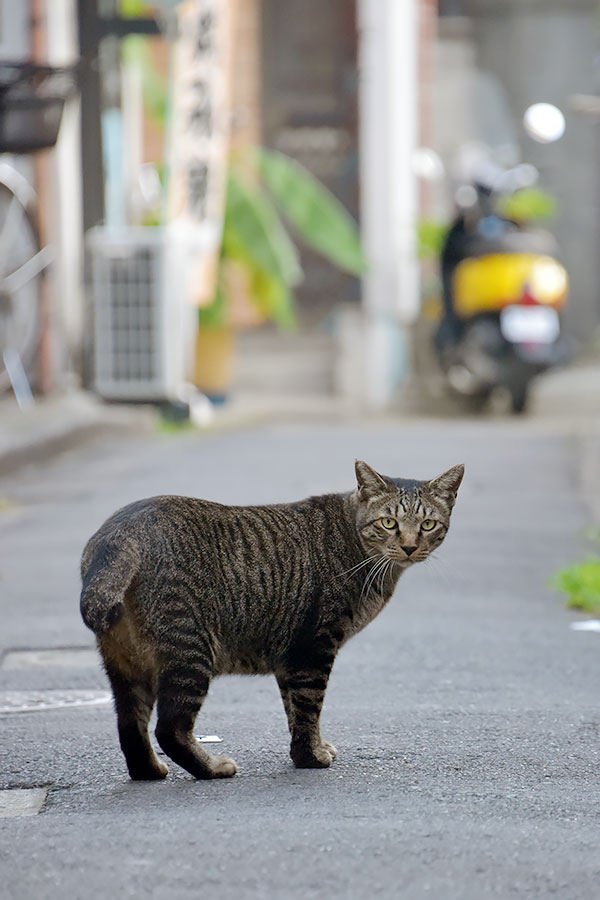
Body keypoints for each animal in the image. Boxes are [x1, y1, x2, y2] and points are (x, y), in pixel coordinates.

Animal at [79, 460, 464, 776]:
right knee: (169, 728)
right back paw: (212, 768)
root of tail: (120, 531)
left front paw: (310, 749)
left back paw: (149, 771)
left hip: (127, 666)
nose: (411, 546)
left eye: (428, 524)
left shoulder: (291, 655)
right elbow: (309, 707)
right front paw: (311, 758)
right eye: (389, 522)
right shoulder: (315, 646)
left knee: (130, 725)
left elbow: (294, 710)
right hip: (189, 651)